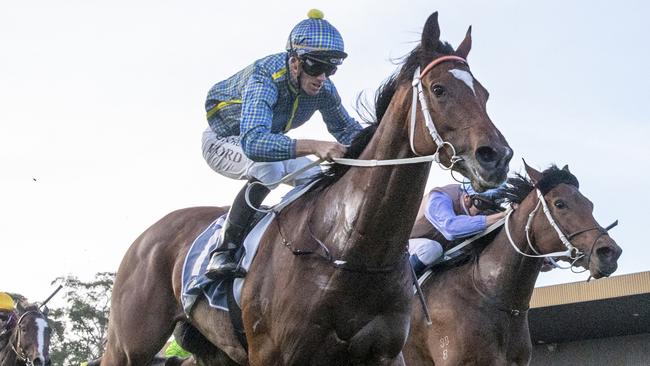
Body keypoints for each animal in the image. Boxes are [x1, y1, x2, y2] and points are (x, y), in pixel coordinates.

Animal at [100, 11, 512, 366]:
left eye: (485, 94)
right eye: (439, 89)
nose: (497, 156)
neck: (351, 248)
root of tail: (144, 238)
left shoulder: (385, 352)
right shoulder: (273, 354)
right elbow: (256, 138)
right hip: (128, 345)